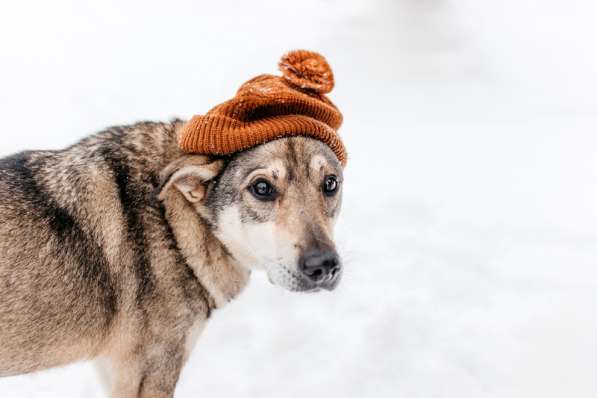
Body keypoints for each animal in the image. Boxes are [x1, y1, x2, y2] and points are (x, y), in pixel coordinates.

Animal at [0, 119, 344, 398]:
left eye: (330, 183)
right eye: (262, 187)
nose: (323, 266)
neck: (174, 222)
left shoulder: (113, 369)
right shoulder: (147, 376)